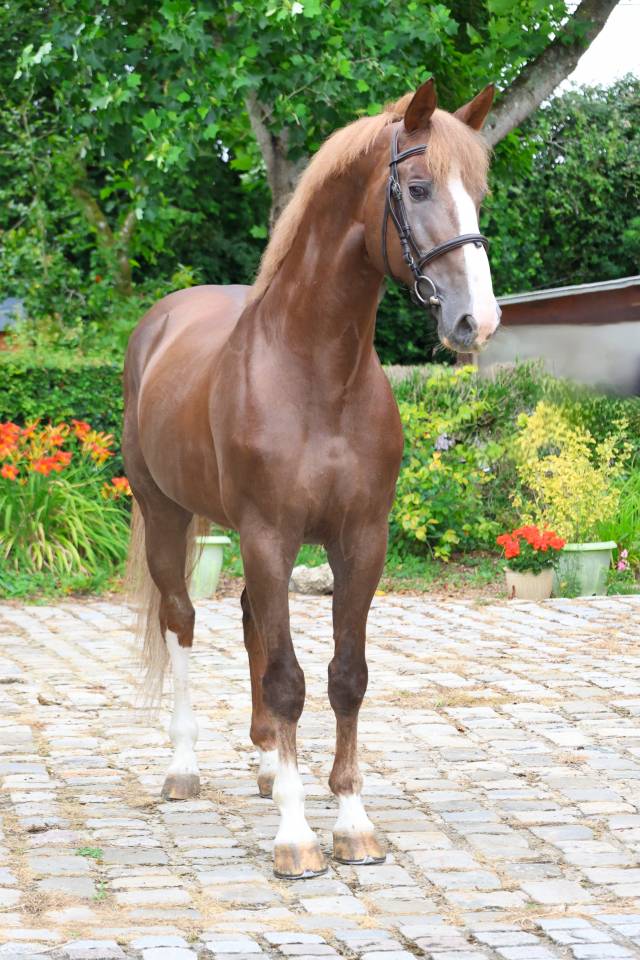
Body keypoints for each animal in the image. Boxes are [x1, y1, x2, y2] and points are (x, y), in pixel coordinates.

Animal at [123, 78, 500, 880]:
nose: (475, 322)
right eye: (418, 188)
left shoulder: (360, 540)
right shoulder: (270, 535)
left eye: (478, 192)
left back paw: (269, 765)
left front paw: (351, 822)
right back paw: (184, 768)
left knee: (248, 624)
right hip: (167, 516)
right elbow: (290, 680)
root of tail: (159, 322)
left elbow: (344, 675)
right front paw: (297, 838)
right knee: (183, 621)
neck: (316, 371)